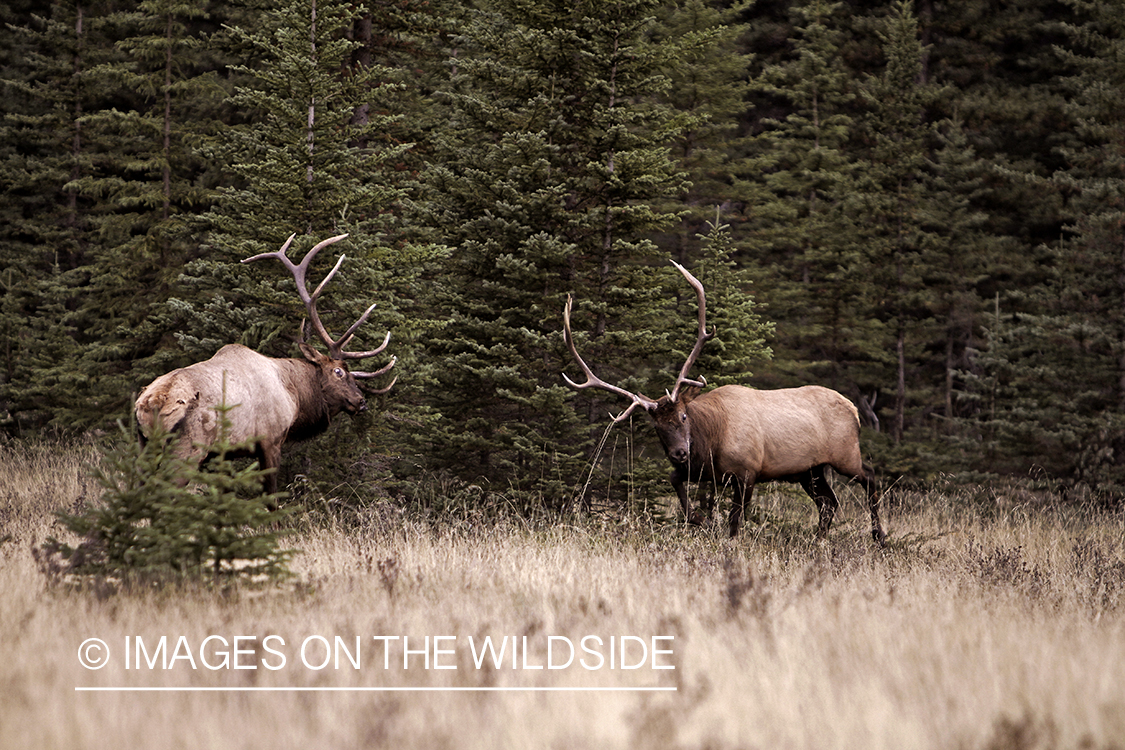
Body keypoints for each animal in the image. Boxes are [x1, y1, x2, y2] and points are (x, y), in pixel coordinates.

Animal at [134, 235, 398, 492]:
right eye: (338, 371)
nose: (361, 401)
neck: (294, 396)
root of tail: (153, 402)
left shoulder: (226, 454)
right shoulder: (270, 439)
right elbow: (270, 496)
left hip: (144, 446)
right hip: (188, 448)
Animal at [562, 264, 886, 546]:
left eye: (683, 416)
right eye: (657, 427)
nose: (680, 453)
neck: (711, 442)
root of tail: (855, 410)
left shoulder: (747, 471)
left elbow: (735, 520)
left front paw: (728, 541)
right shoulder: (704, 472)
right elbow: (676, 484)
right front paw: (701, 520)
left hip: (844, 454)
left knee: (869, 478)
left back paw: (879, 536)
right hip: (810, 470)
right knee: (829, 503)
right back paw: (818, 541)